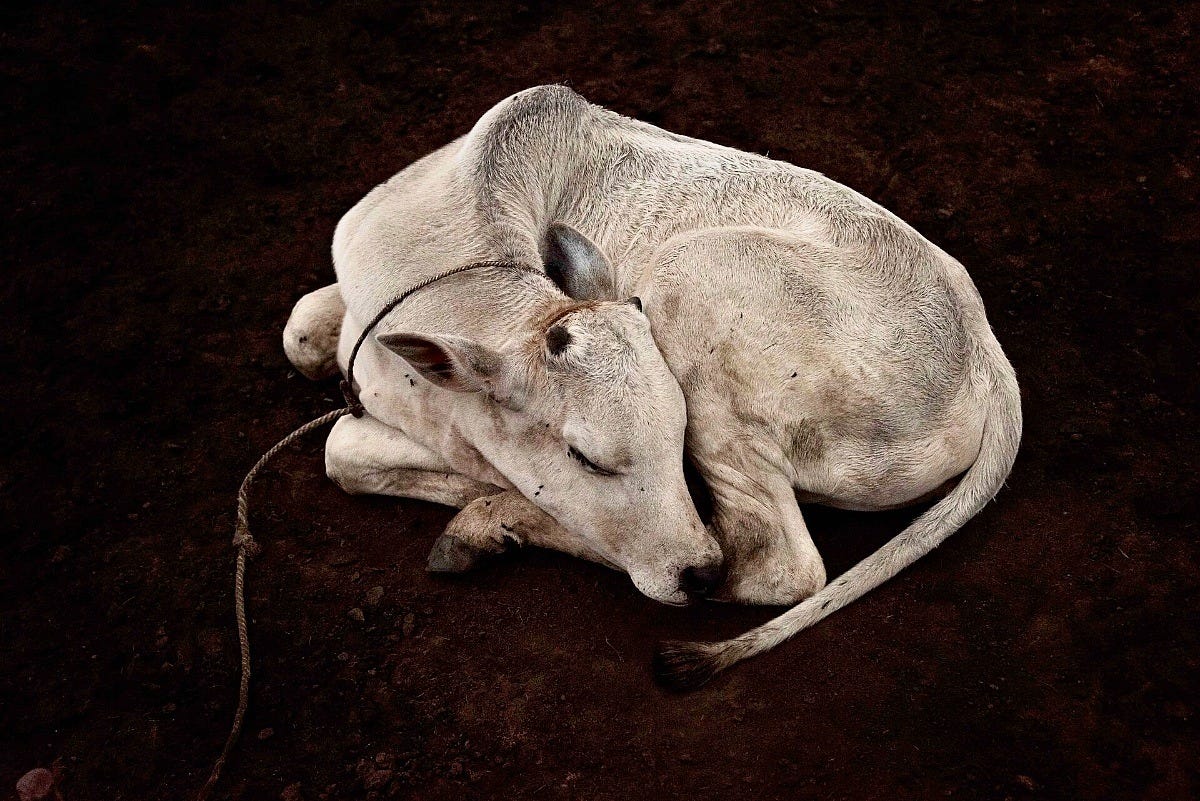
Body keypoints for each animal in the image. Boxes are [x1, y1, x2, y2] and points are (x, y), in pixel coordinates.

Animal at [282, 85, 1021, 688]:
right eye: (586, 457)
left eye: (675, 433)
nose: (696, 571)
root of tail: (986, 355)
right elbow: (301, 340)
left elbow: (345, 448)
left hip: (686, 273)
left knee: (777, 563)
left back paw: (488, 526)